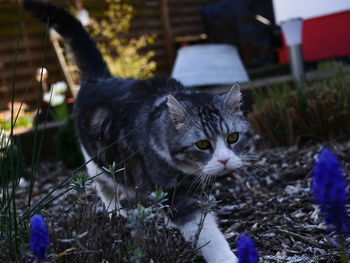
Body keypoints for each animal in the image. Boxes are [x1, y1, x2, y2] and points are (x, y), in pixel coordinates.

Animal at [24, 1, 253, 262]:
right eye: (202, 144)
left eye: (233, 137)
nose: (224, 160)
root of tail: (100, 78)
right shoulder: (177, 195)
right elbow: (206, 233)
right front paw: (227, 256)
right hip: (99, 164)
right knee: (106, 188)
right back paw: (116, 215)